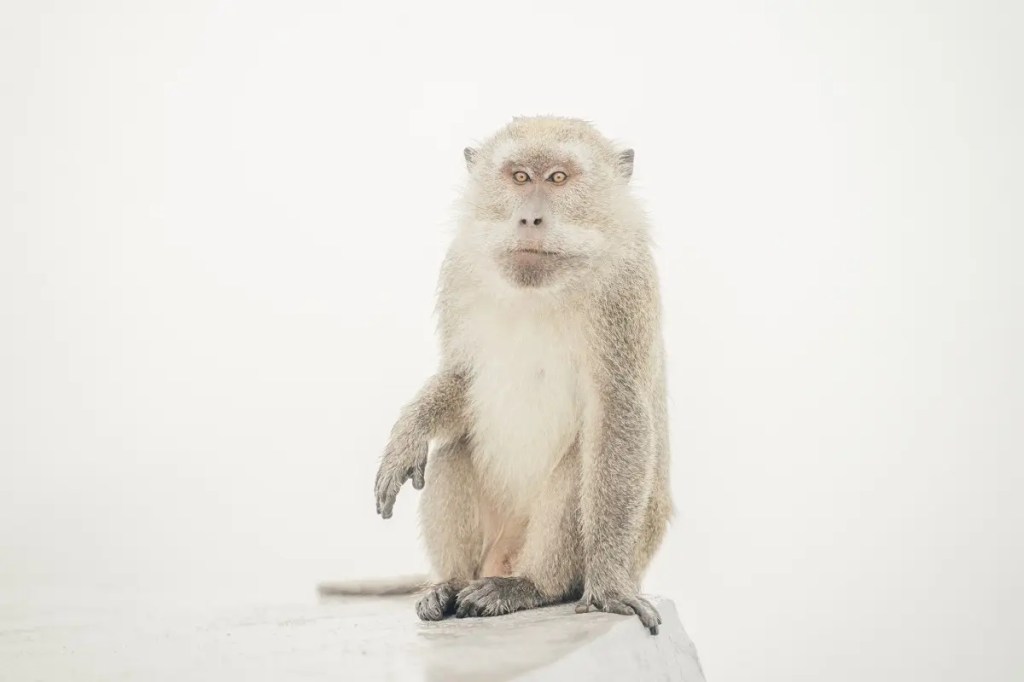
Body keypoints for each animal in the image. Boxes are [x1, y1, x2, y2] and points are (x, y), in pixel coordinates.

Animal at [322, 116, 672, 635]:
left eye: (558, 179)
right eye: (520, 177)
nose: (530, 219)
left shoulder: (625, 286)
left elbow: (619, 411)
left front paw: (609, 586)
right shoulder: (459, 269)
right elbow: (461, 376)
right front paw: (408, 432)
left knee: (579, 466)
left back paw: (531, 587)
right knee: (453, 451)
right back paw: (448, 585)